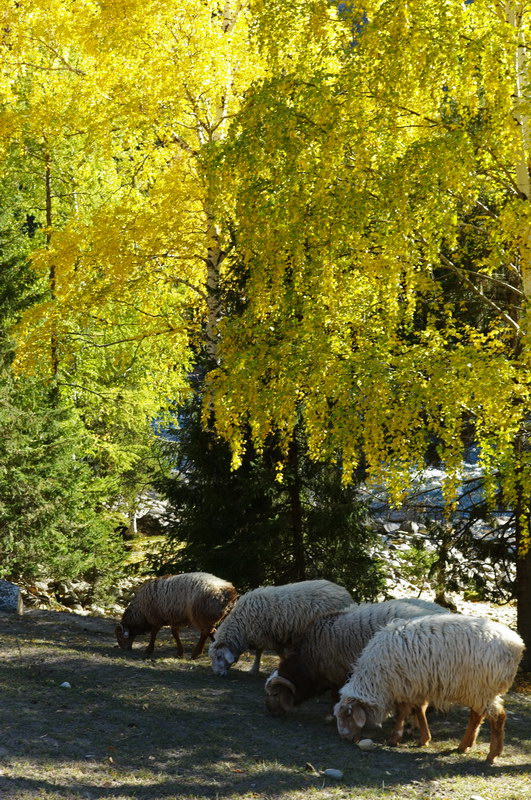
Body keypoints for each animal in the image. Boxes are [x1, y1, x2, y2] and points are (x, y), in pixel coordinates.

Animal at [208, 580, 354, 676]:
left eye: (219, 656)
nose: (216, 673)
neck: (241, 624)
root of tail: (345, 592)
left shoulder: (268, 637)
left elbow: (275, 653)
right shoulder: (263, 636)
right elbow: (260, 652)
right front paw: (254, 669)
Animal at [334, 612, 524, 764]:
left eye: (348, 715)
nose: (345, 738)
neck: (375, 680)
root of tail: (516, 645)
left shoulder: (402, 684)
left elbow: (402, 712)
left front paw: (395, 738)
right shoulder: (416, 685)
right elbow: (420, 710)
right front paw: (424, 739)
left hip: (483, 687)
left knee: (497, 717)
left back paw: (492, 755)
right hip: (475, 689)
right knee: (476, 716)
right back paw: (464, 746)